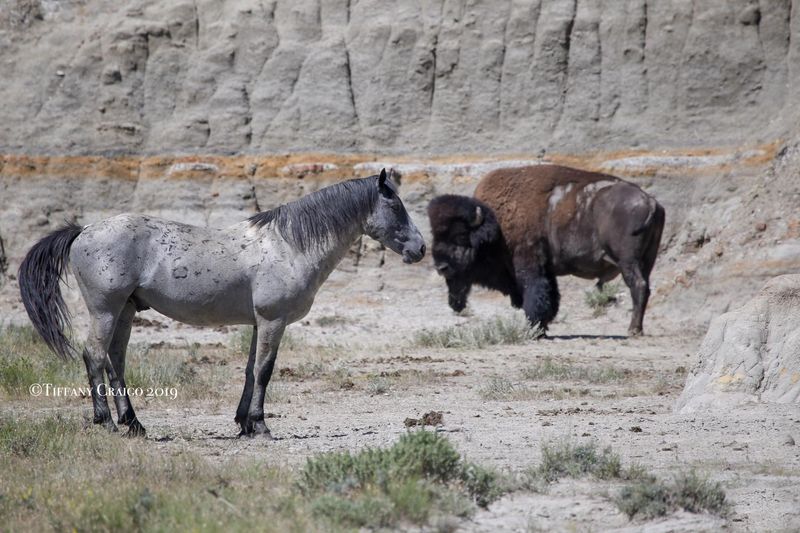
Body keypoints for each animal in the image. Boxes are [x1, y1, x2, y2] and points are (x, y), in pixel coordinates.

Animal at [18, 169, 424, 436]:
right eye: (396, 206)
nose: (420, 249)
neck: (288, 246)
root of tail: (83, 230)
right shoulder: (273, 321)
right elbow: (265, 370)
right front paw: (260, 425)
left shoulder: (260, 323)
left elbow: (250, 371)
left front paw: (244, 423)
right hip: (105, 310)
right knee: (95, 356)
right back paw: (105, 422)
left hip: (126, 312)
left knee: (115, 360)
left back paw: (134, 424)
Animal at [428, 164, 664, 334]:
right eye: (435, 235)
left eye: (460, 236)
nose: (441, 267)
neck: (495, 225)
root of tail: (649, 200)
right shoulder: (547, 268)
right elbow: (552, 296)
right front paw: (544, 326)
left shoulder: (528, 263)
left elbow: (534, 294)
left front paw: (535, 329)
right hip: (647, 260)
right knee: (645, 286)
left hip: (628, 261)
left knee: (638, 286)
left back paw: (633, 329)